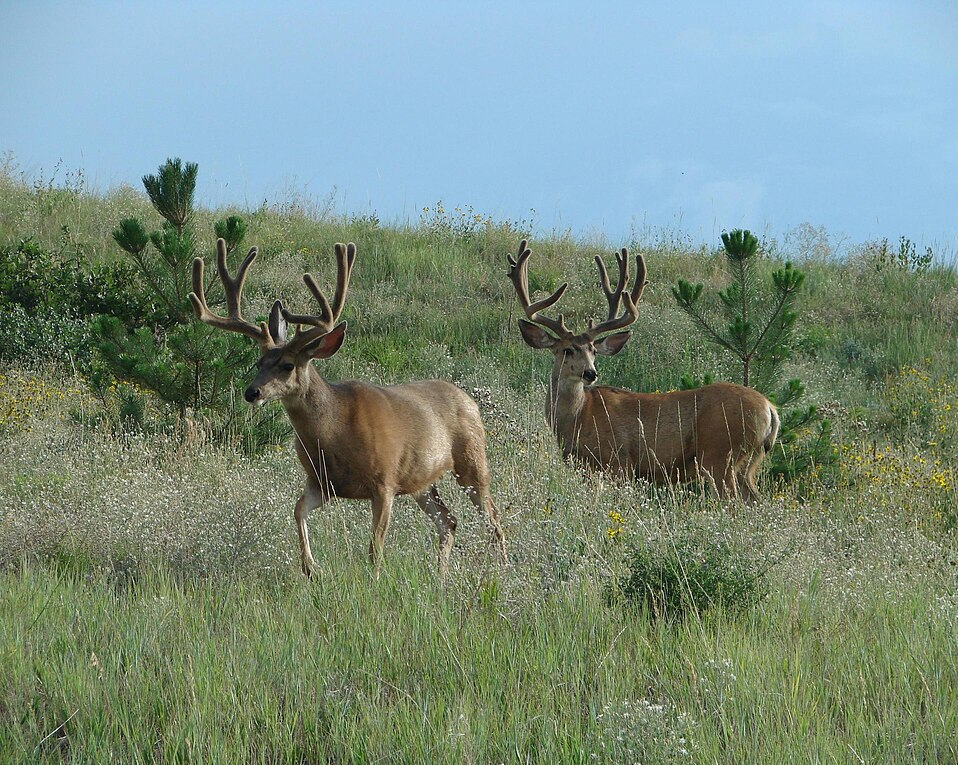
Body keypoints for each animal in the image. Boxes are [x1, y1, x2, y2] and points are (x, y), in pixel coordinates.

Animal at [189, 238, 506, 577]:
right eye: (259, 362)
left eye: (287, 365)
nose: (252, 392)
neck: (336, 433)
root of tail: (469, 399)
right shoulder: (322, 482)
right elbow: (297, 510)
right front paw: (311, 566)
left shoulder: (384, 482)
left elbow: (375, 549)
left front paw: (375, 579)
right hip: (422, 480)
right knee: (448, 520)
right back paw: (441, 575)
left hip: (471, 460)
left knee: (493, 520)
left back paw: (502, 567)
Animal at [507, 239, 779, 501]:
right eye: (566, 350)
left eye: (593, 350)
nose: (590, 373)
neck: (579, 416)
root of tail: (770, 408)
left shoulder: (618, 461)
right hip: (748, 462)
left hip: (720, 454)